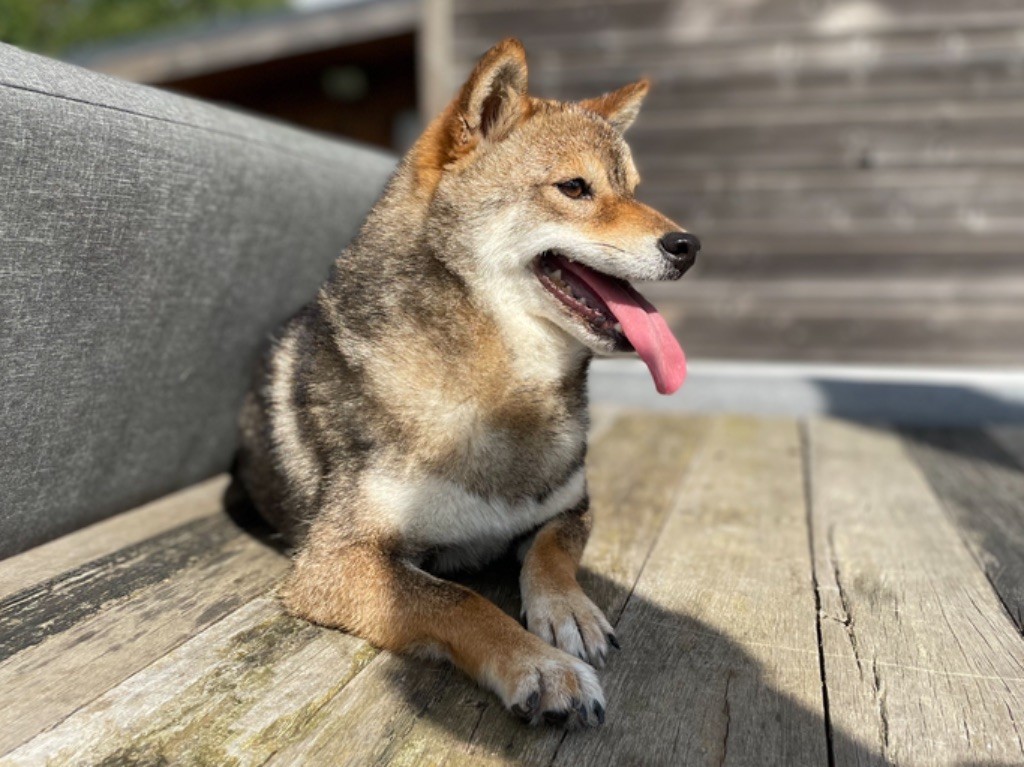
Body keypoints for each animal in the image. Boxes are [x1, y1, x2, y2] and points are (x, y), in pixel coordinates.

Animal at [236, 38, 700, 729]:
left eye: (635, 191)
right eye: (575, 187)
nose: (688, 244)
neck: (503, 393)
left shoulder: (573, 505)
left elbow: (550, 552)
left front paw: (569, 610)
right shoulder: (337, 560)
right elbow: (457, 600)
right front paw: (541, 665)